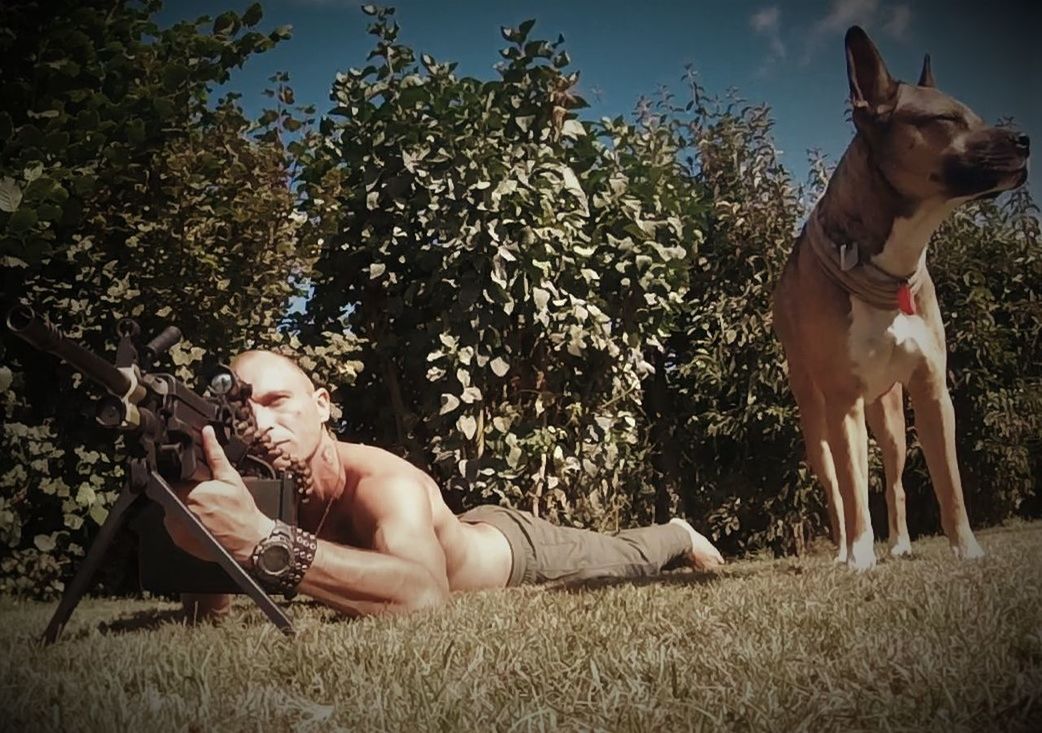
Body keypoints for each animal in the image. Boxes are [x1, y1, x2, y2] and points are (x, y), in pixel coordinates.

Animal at [775, 27, 1025, 567]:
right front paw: (859, 559)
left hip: (890, 419)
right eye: (945, 120)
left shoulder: (933, 393)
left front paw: (967, 549)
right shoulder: (843, 403)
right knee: (836, 488)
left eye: (975, 115)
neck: (884, 267)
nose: (1025, 140)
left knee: (893, 482)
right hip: (816, 422)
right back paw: (844, 552)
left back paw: (901, 544)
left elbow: (949, 482)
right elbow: (853, 491)